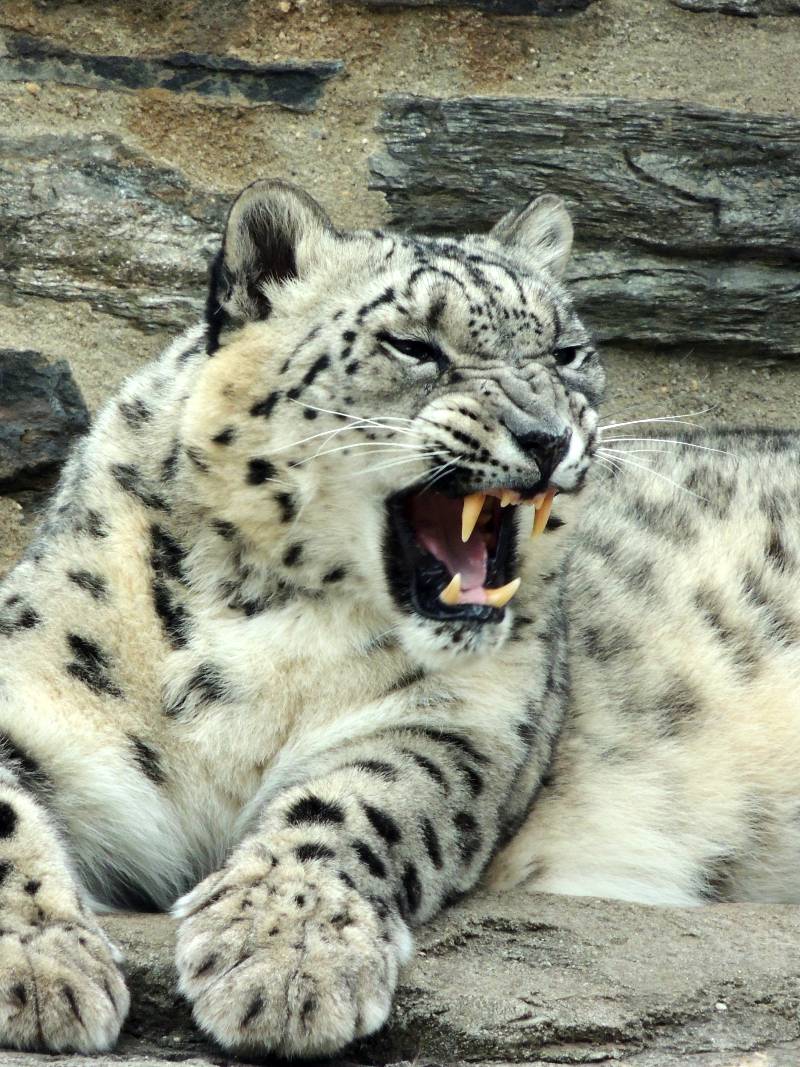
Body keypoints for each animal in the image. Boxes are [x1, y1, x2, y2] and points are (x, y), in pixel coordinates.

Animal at [0, 177, 798, 1059]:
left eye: (565, 352)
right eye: (415, 345)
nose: (548, 435)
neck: (264, 608)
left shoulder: (464, 726)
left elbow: (359, 798)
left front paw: (286, 956)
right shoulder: (36, 691)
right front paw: (39, 965)